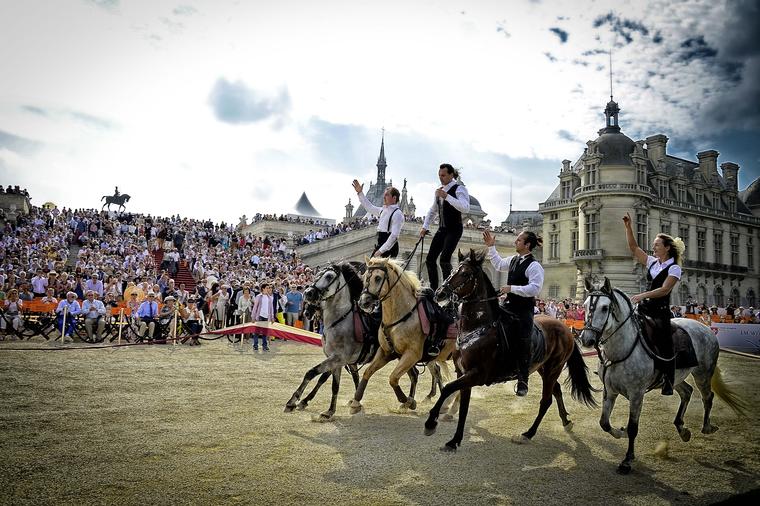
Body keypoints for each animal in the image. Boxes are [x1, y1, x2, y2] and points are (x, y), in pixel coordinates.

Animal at [348, 256, 452, 416]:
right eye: (365, 277)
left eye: (378, 278)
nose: (363, 302)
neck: (401, 315)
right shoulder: (386, 352)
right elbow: (367, 372)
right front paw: (355, 402)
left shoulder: (412, 355)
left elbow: (393, 378)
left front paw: (407, 401)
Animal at [424, 249, 596, 450]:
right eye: (452, 271)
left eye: (465, 274)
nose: (439, 293)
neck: (477, 328)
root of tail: (565, 328)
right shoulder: (463, 373)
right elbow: (463, 406)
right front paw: (454, 440)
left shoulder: (477, 374)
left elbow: (447, 389)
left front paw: (431, 422)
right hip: (543, 368)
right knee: (557, 390)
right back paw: (566, 422)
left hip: (554, 368)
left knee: (546, 400)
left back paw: (528, 434)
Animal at [580, 276, 748, 474]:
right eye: (584, 305)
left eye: (605, 308)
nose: (587, 339)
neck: (621, 349)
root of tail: (705, 327)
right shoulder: (610, 392)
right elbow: (604, 423)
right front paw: (621, 432)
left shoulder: (636, 395)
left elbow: (633, 427)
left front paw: (627, 460)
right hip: (675, 378)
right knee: (687, 392)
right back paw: (682, 429)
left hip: (703, 373)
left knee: (708, 396)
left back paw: (706, 427)